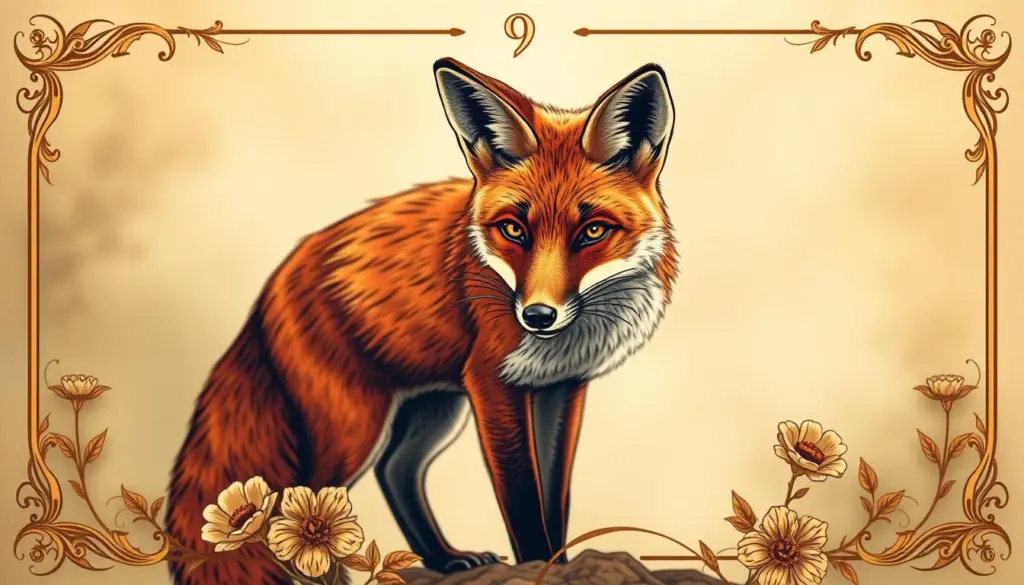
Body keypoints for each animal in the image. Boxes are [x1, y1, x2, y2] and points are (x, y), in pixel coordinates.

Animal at [165, 57, 678, 585]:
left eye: (592, 231)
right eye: (513, 229)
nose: (537, 316)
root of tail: (273, 283)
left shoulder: (562, 387)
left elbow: (555, 497)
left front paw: (560, 562)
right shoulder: (492, 383)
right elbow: (521, 497)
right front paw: (537, 563)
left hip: (433, 407)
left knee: (395, 471)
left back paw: (444, 558)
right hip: (353, 425)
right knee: (299, 502)